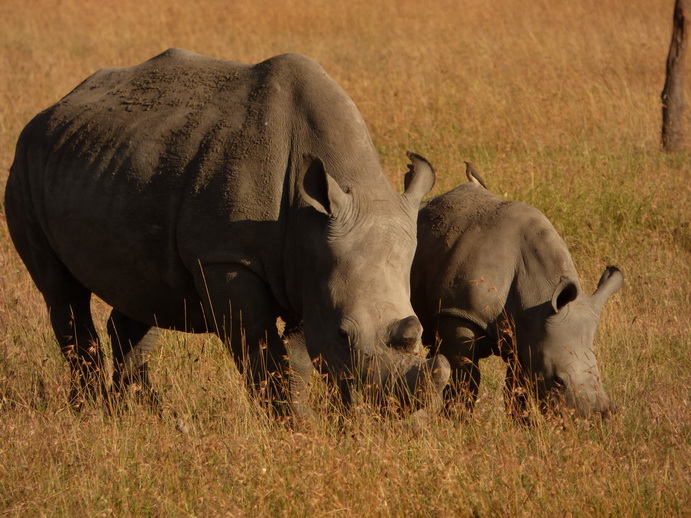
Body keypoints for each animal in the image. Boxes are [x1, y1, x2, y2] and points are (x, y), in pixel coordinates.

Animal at [4, 48, 444, 414]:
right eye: (343, 335)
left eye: (421, 333)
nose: (392, 414)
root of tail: (52, 108)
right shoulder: (227, 258)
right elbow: (262, 356)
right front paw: (291, 425)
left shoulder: (310, 264)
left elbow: (297, 359)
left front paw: (302, 419)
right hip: (24, 166)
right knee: (62, 294)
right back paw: (91, 412)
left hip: (111, 164)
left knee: (139, 291)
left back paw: (139, 413)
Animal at [414, 165, 624, 420]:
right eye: (558, 380)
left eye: (599, 376)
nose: (588, 422)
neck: (539, 296)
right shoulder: (460, 312)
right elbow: (464, 378)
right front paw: (457, 421)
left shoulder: (528, 333)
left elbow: (517, 389)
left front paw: (522, 424)